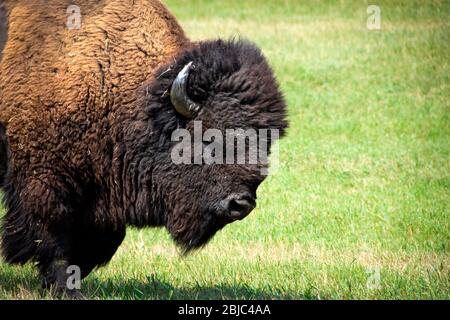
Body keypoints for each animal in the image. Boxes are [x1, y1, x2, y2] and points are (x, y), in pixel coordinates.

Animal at [0, 0, 286, 296]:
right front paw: (67, 289)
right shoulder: (44, 180)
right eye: (209, 139)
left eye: (265, 144)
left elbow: (103, 241)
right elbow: (53, 235)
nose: (240, 205)